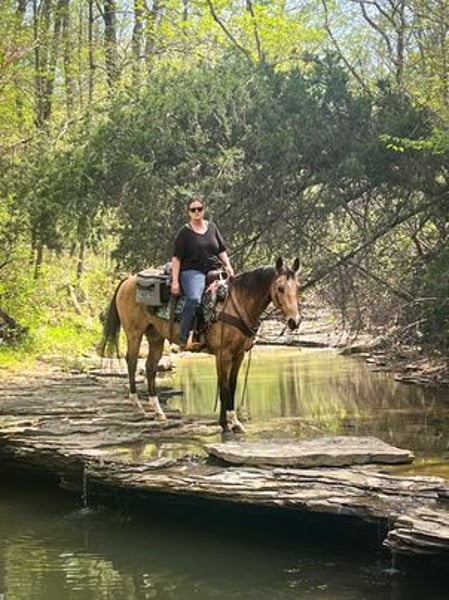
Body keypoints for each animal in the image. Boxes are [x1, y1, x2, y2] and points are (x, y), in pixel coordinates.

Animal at [100, 257, 301, 433]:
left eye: (297, 287)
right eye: (280, 288)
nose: (295, 321)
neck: (237, 304)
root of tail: (128, 280)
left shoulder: (238, 355)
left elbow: (232, 385)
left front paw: (235, 423)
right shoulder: (223, 354)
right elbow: (223, 386)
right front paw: (224, 425)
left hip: (155, 336)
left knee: (150, 367)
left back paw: (159, 412)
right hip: (134, 333)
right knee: (132, 362)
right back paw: (137, 405)